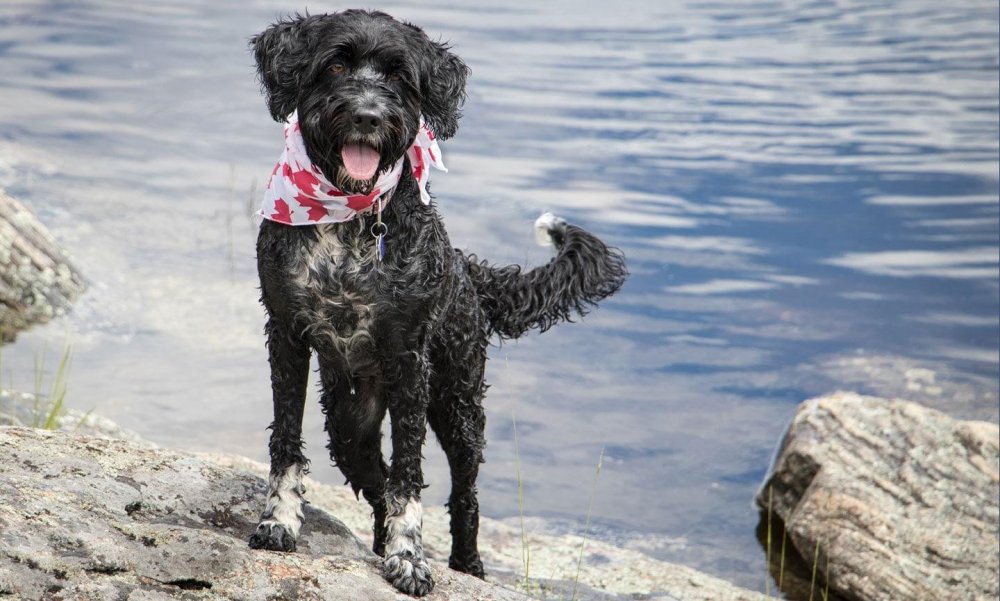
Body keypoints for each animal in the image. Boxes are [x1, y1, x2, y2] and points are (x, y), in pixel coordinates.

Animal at [247, 9, 628, 596]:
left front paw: (409, 558)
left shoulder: (410, 362)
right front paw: (280, 521)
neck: (350, 216)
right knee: (374, 482)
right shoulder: (286, 334)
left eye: (400, 76)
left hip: (458, 406)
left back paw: (466, 564)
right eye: (335, 65)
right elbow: (287, 441)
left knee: (464, 496)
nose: (368, 115)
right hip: (350, 422)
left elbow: (410, 475)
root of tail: (467, 269)